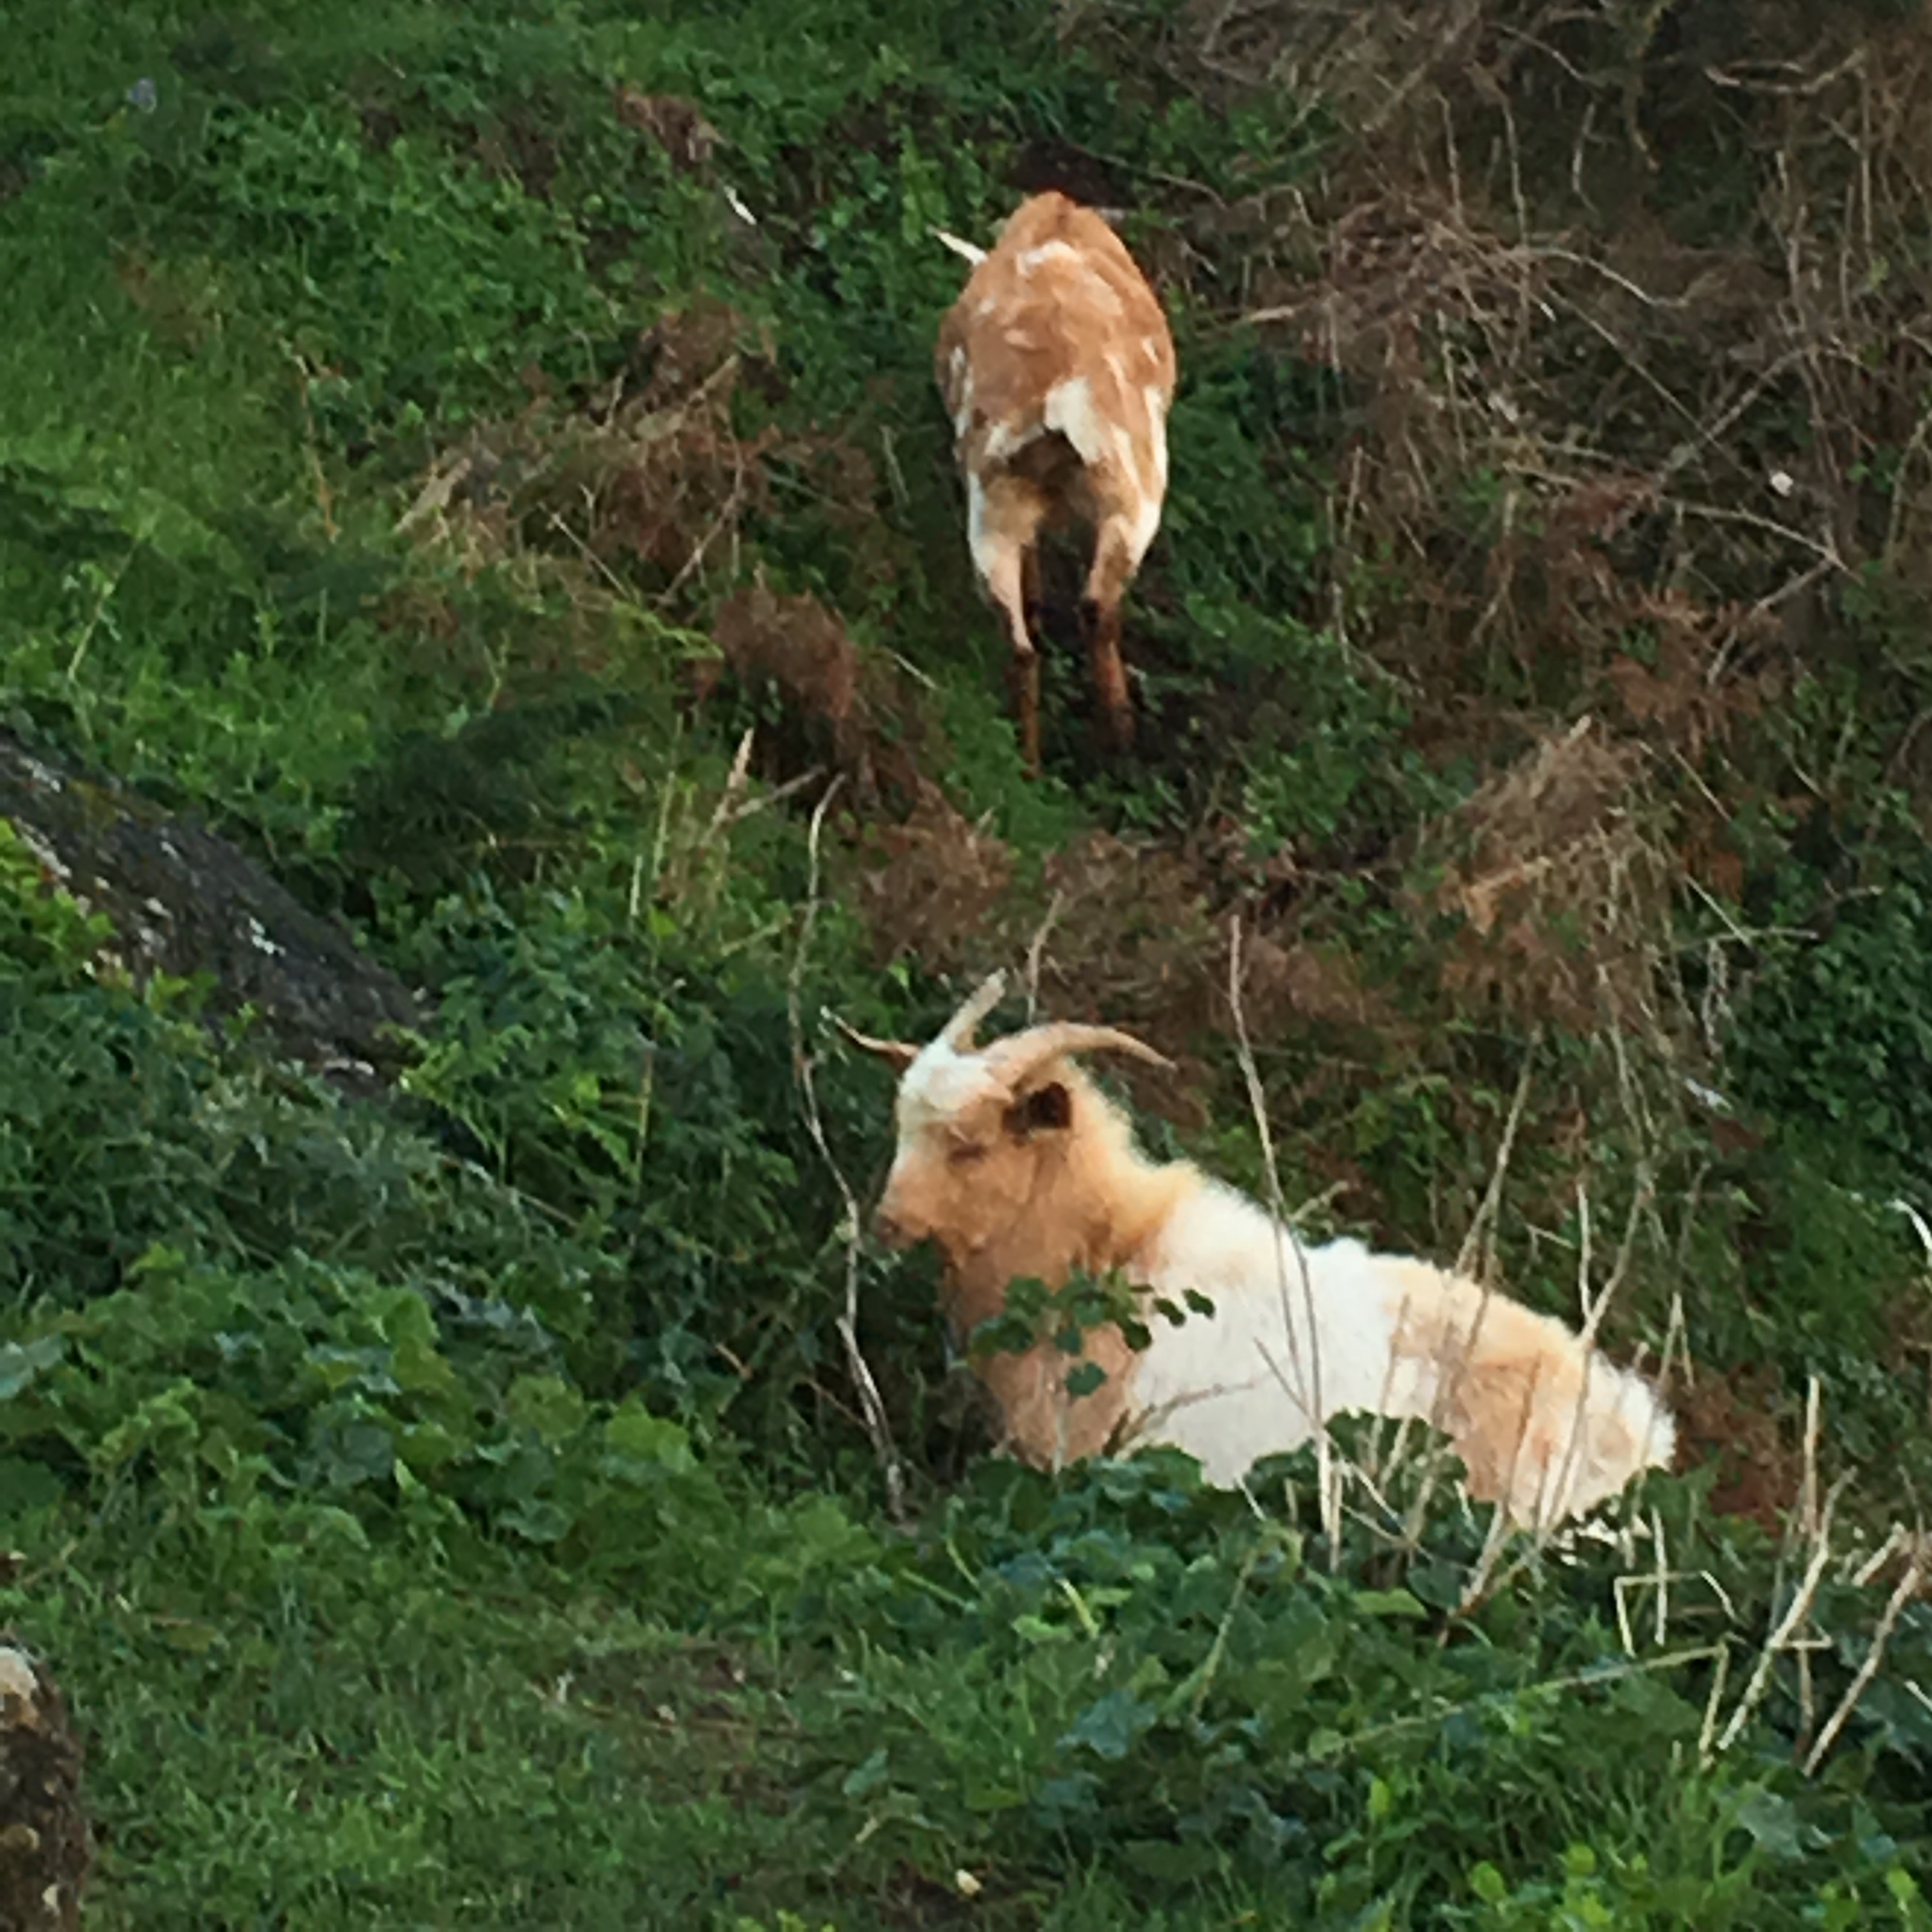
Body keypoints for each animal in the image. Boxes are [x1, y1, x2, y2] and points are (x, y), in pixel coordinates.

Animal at [934, 192, 1178, 773]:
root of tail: (1052, 407)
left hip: (993, 513)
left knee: (1021, 646)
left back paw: (1029, 760)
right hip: (1134, 496)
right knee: (1096, 606)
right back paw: (1118, 735)